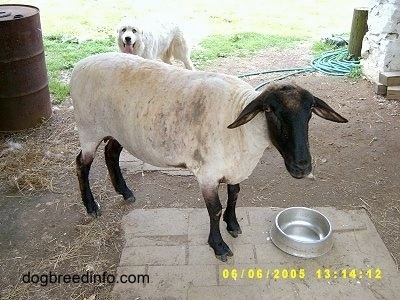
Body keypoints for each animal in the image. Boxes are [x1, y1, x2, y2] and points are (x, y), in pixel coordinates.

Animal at [70, 52, 348, 262]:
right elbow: (214, 209)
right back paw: (91, 206)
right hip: (89, 130)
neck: (243, 127)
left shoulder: (234, 167)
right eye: (270, 110)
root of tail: (80, 64)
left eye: (310, 112)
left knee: (111, 152)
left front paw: (233, 225)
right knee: (81, 164)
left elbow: (234, 195)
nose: (302, 167)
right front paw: (219, 245)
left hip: (119, 130)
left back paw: (125, 191)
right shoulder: (208, 174)